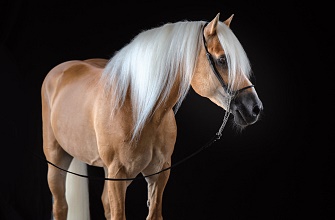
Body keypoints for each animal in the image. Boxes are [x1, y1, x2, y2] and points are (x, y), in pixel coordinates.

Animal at [41, 12, 262, 219]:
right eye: (222, 59)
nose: (255, 109)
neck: (137, 107)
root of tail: (64, 68)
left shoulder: (159, 174)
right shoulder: (118, 175)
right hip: (57, 162)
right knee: (60, 206)